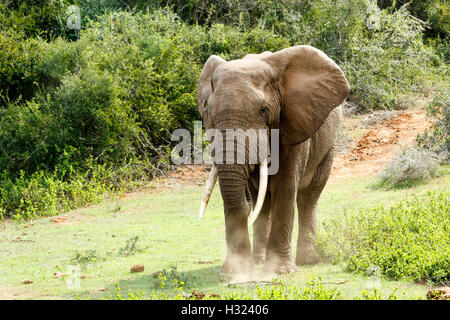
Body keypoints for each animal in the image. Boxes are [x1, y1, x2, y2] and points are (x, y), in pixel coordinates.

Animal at [196, 45, 348, 276]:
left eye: (263, 110)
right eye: (209, 111)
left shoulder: (293, 123)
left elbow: (285, 188)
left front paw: (280, 271)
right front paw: (235, 272)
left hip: (328, 147)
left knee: (308, 198)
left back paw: (308, 260)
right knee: (263, 200)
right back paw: (258, 260)